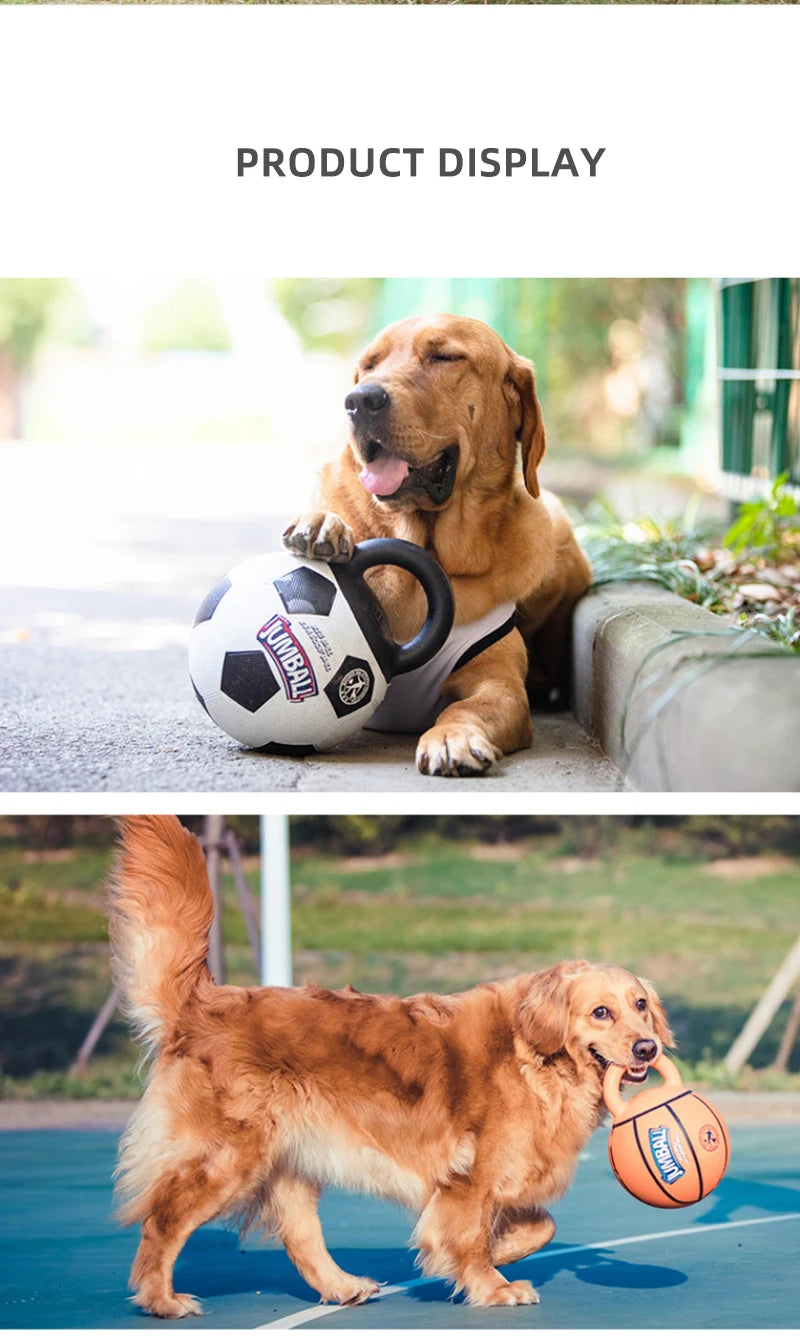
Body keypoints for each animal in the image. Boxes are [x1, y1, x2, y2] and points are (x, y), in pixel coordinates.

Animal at [109, 812, 673, 1314]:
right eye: (601, 1012)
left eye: (641, 1005)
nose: (647, 1048)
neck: (535, 1062)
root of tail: (202, 1004)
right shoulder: (468, 1177)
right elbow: (470, 1234)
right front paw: (492, 1284)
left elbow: (540, 1227)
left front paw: (492, 1253)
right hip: (227, 1159)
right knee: (162, 1221)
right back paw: (161, 1300)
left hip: (290, 1162)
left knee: (300, 1236)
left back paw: (342, 1287)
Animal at [284, 313, 590, 780]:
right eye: (369, 365)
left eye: (444, 356)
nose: (358, 401)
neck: (427, 546)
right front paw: (322, 526)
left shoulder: (499, 684)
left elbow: (467, 708)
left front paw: (452, 737)